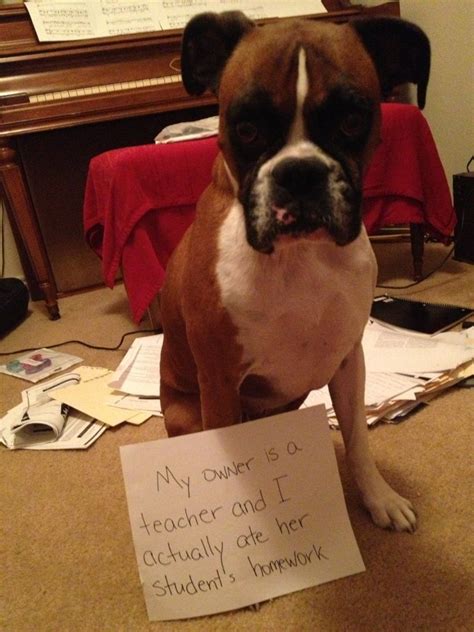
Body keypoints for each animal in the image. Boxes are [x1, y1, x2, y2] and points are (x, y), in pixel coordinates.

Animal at [159, 12, 430, 532]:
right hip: (187, 413)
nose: (300, 172)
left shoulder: (348, 362)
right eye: (246, 129)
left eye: (351, 120)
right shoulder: (219, 383)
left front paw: (377, 498)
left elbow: (358, 441)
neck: (301, 256)